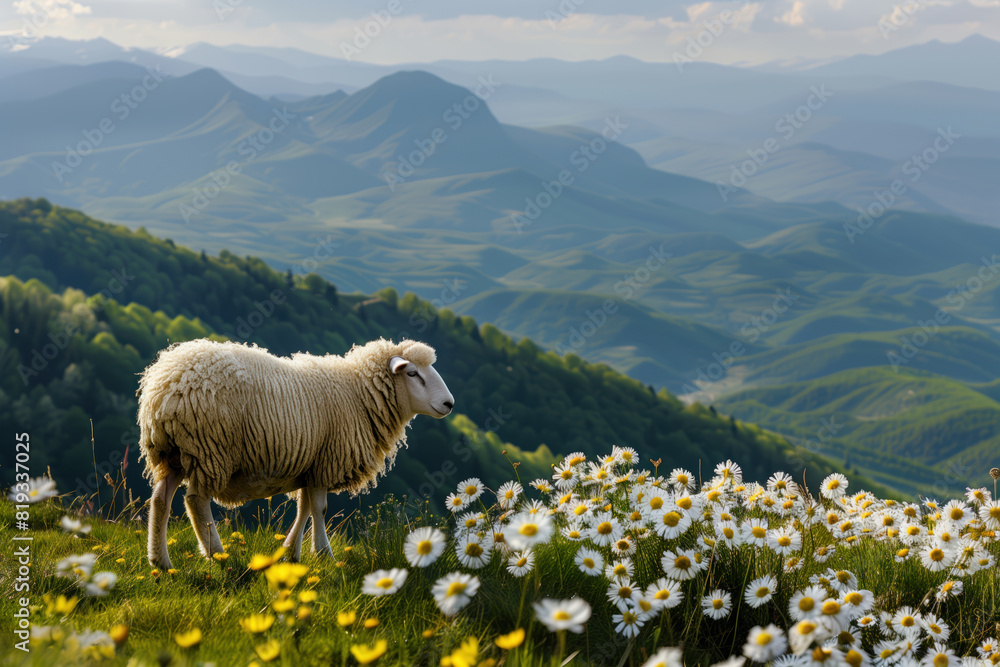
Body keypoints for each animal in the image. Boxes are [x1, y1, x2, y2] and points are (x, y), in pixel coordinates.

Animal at [137, 337, 455, 569]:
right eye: (412, 373)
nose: (449, 403)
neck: (357, 393)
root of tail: (162, 388)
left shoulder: (310, 465)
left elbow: (304, 508)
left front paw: (290, 553)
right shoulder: (327, 461)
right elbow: (319, 509)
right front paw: (324, 554)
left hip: (174, 454)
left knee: (161, 499)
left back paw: (160, 561)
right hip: (209, 448)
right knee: (196, 501)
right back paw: (217, 554)